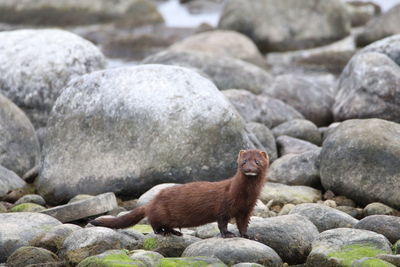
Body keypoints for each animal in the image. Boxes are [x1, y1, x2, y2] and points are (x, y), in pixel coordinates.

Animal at [89, 150, 268, 240]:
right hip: (160, 212)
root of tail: (151, 202)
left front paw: (247, 235)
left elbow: (243, 223)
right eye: (243, 161)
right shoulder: (223, 205)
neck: (244, 196)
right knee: (154, 223)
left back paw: (175, 232)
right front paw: (228, 234)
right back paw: (164, 232)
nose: (249, 169)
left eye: (257, 161)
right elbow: (222, 222)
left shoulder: (247, 208)